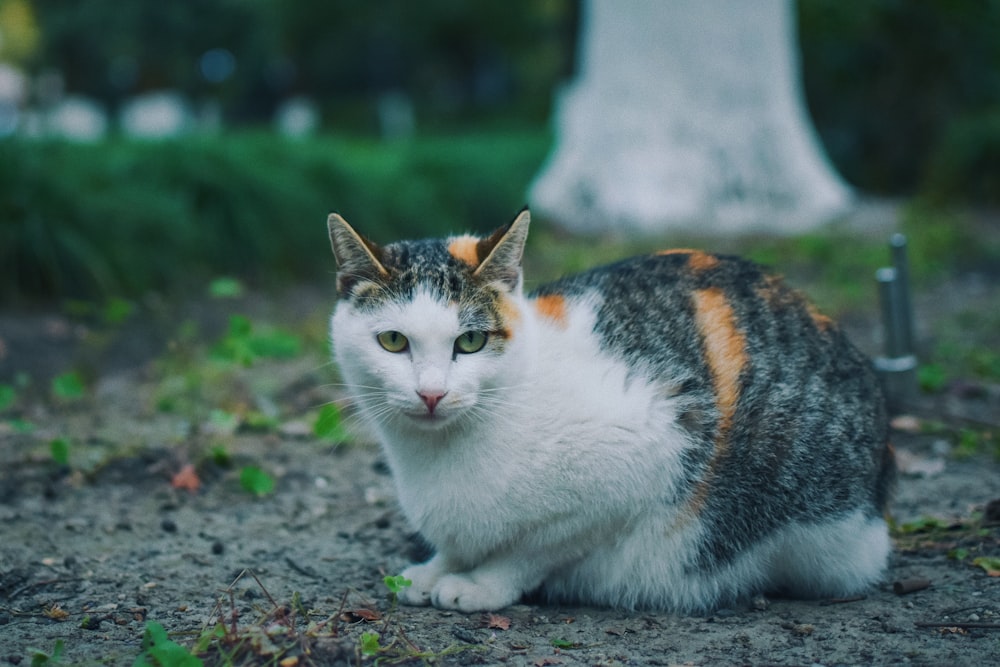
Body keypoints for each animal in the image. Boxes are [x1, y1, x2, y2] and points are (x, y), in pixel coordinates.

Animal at [330, 210, 900, 616]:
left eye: (470, 341)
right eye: (393, 341)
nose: (431, 393)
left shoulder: (644, 457)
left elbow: (537, 549)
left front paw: (480, 584)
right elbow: (459, 544)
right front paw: (435, 567)